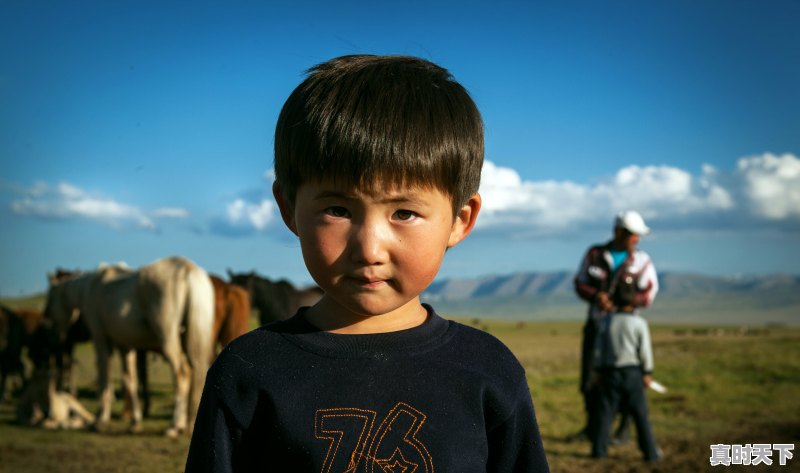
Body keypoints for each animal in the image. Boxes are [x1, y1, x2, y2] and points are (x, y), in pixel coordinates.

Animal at [45, 258, 214, 436]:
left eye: (51, 296)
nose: (46, 315)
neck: (90, 287)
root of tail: (186, 268)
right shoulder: (125, 347)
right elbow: (130, 380)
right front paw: (135, 422)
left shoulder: (101, 341)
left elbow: (105, 379)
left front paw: (100, 420)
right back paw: (186, 424)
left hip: (168, 340)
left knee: (182, 374)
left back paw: (174, 426)